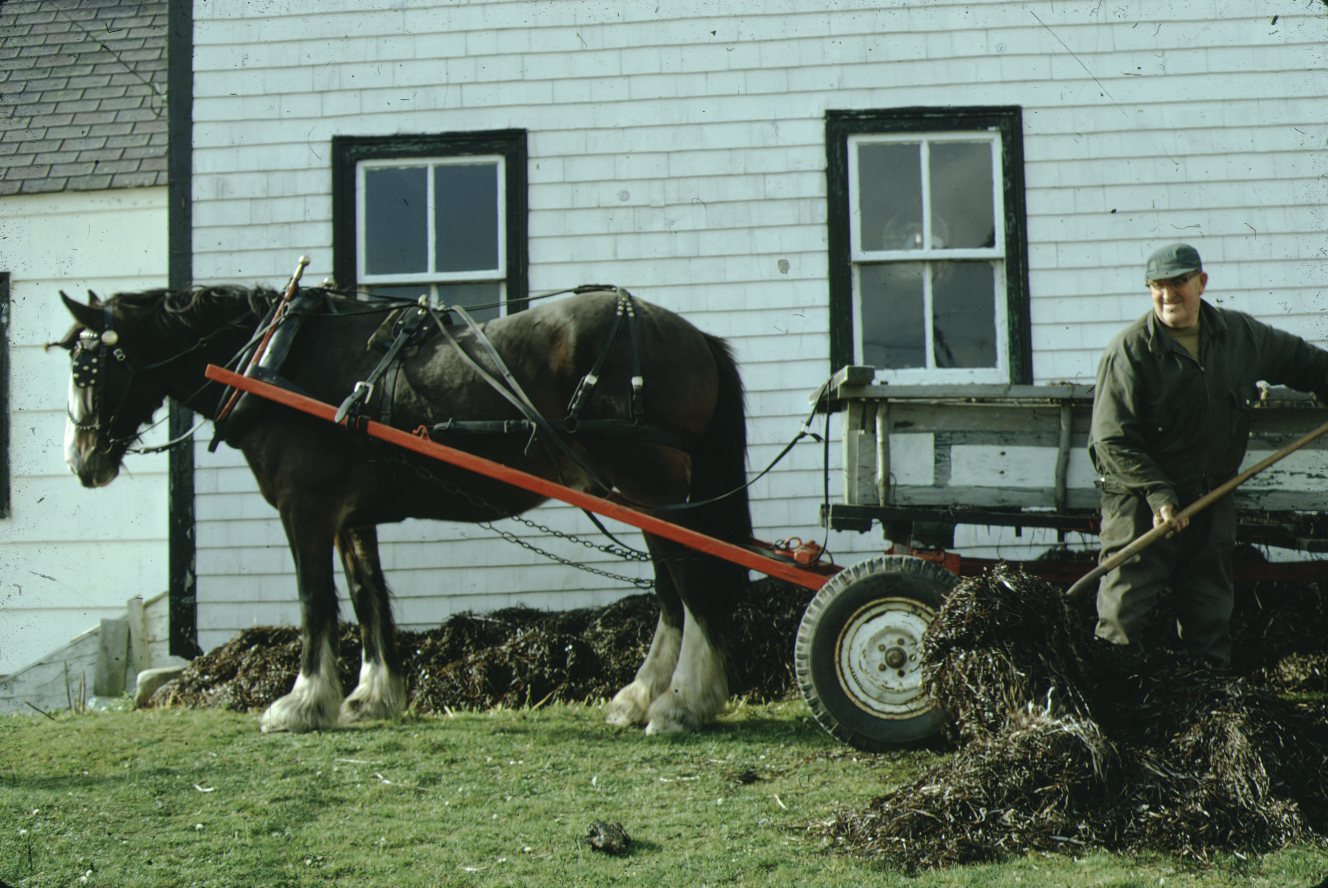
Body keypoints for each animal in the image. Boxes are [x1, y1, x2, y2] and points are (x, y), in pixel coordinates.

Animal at [54, 285, 748, 732]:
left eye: (88, 367)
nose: (80, 461)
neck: (279, 358)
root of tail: (692, 335)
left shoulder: (305, 510)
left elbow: (314, 602)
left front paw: (301, 703)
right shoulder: (350, 518)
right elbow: (368, 598)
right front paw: (371, 696)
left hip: (653, 490)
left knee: (691, 584)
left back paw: (684, 702)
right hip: (642, 496)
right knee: (671, 592)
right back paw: (640, 697)